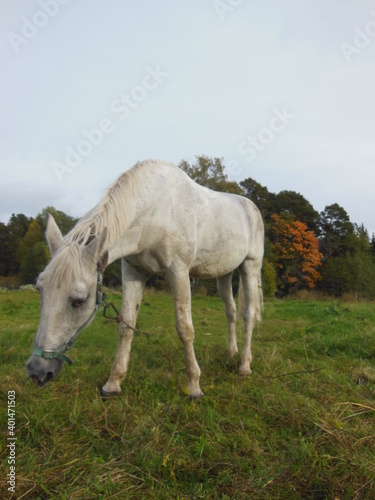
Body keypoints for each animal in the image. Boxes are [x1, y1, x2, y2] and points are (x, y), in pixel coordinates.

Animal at [27, 160, 264, 398]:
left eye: (79, 301)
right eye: (39, 289)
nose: (37, 371)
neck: (154, 211)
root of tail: (251, 208)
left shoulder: (178, 272)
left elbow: (185, 329)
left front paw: (194, 386)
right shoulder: (133, 271)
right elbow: (126, 326)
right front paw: (113, 384)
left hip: (250, 266)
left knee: (249, 315)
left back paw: (244, 365)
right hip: (224, 273)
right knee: (231, 312)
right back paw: (231, 356)